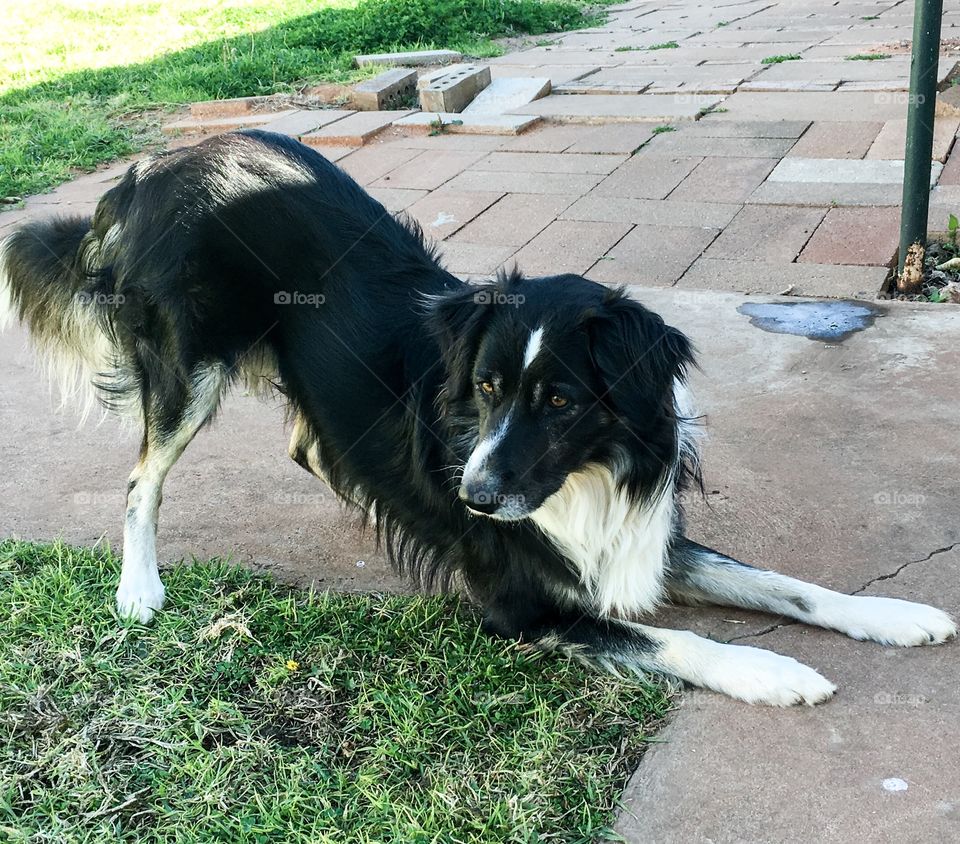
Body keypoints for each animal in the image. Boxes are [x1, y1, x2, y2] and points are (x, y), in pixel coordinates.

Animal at [3, 132, 956, 708]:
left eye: (560, 400)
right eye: (488, 389)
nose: (473, 498)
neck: (585, 476)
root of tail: (149, 171)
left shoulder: (642, 535)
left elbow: (783, 584)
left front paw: (895, 615)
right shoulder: (522, 605)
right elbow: (676, 640)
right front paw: (773, 670)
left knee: (308, 441)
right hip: (188, 370)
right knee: (141, 479)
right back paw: (139, 587)